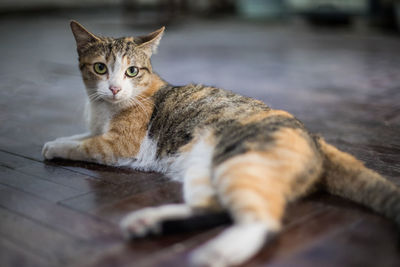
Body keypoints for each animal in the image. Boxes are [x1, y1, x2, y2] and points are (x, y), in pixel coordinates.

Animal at [42, 21, 398, 267]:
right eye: (100, 68)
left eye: (132, 71)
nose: (114, 89)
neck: (104, 109)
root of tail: (317, 139)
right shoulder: (99, 129)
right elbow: (80, 136)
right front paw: (58, 138)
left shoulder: (120, 145)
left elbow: (85, 145)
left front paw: (54, 147)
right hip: (202, 167)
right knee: (213, 209)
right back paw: (148, 223)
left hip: (240, 162)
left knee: (260, 222)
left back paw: (214, 253)